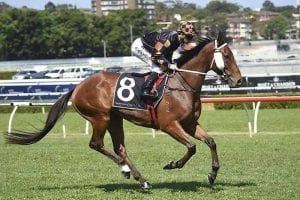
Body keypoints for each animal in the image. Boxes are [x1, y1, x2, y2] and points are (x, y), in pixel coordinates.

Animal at [6, 33, 241, 189]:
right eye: (227, 55)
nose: (238, 80)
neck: (182, 84)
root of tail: (78, 86)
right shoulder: (169, 125)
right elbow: (192, 147)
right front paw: (173, 164)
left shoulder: (190, 124)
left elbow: (211, 141)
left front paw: (212, 175)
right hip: (100, 117)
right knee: (96, 144)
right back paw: (125, 169)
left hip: (115, 119)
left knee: (120, 149)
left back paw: (142, 180)